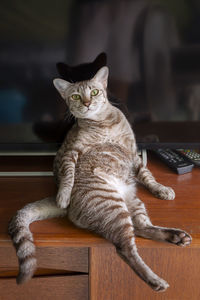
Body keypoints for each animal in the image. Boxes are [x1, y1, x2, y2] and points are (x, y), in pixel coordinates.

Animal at [8, 65, 192, 290]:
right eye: (76, 96)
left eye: (94, 92)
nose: (87, 103)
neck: (104, 123)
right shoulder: (72, 151)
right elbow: (68, 175)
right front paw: (63, 195)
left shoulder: (133, 153)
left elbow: (148, 175)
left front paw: (161, 189)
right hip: (113, 206)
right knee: (125, 248)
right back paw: (155, 280)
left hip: (132, 203)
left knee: (141, 228)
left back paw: (175, 236)